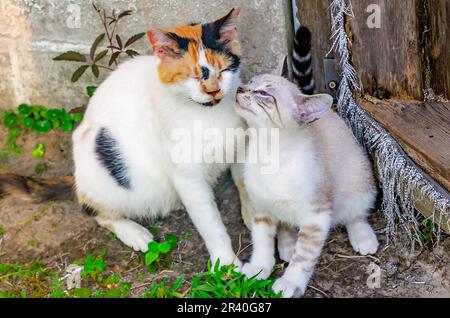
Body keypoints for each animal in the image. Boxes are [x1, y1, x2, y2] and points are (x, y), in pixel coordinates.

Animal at [0, 6, 246, 266]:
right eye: (193, 76)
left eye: (223, 70)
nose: (213, 91)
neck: (209, 115)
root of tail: (76, 178)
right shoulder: (187, 176)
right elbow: (210, 223)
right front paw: (226, 264)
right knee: (95, 211)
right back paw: (134, 232)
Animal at [236, 74, 380, 298]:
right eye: (249, 83)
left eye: (263, 93)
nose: (239, 89)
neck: (269, 154)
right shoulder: (260, 206)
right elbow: (262, 241)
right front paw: (260, 267)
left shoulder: (316, 215)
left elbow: (303, 257)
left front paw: (290, 282)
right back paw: (287, 244)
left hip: (359, 181)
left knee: (355, 215)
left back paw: (363, 238)